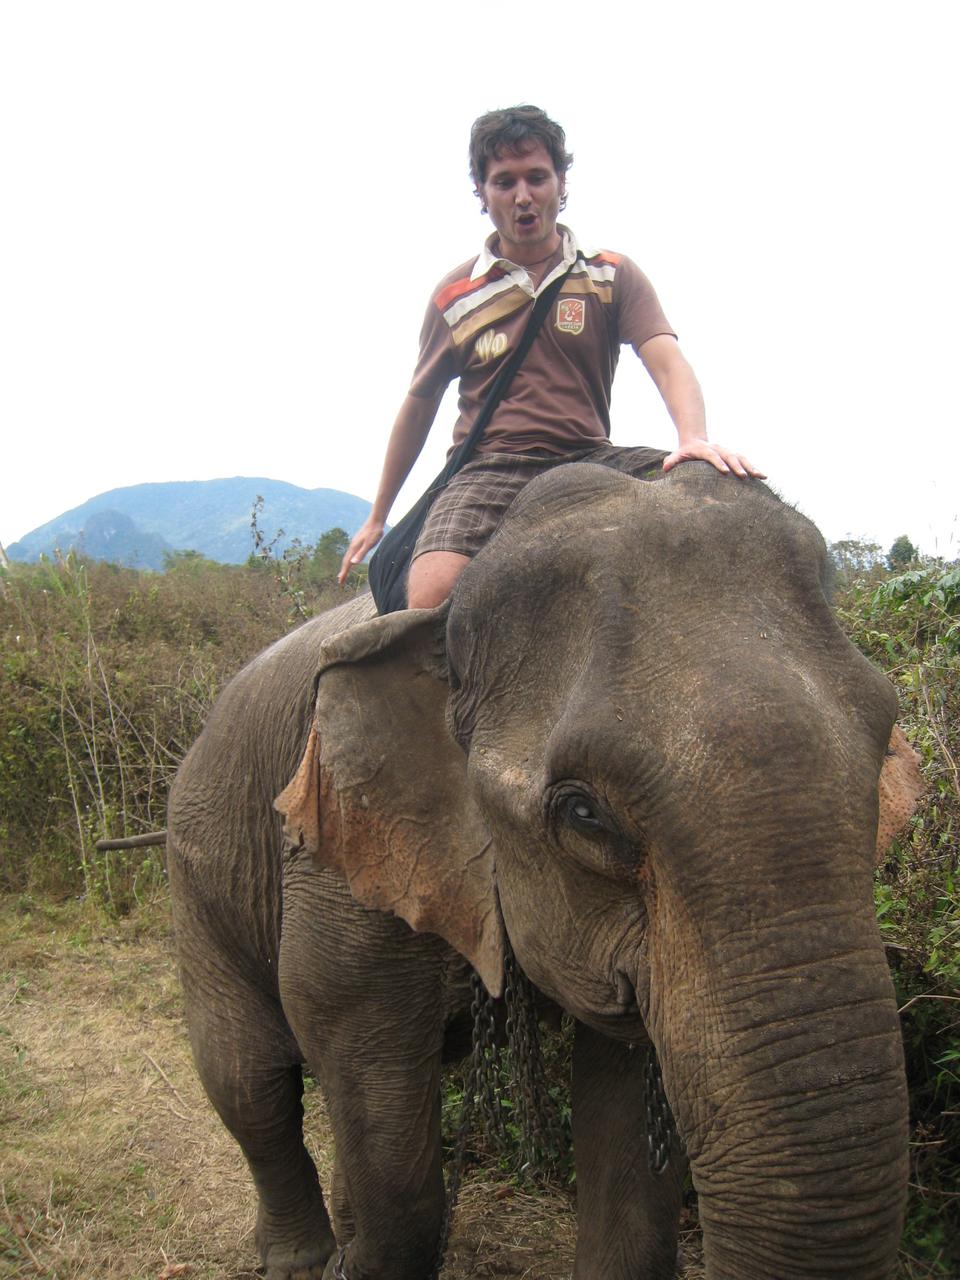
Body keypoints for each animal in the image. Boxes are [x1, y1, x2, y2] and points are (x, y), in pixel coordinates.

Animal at [166, 459, 922, 1280]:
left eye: (884, 747)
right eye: (585, 813)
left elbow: (625, 1111)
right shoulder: (342, 863)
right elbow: (369, 1097)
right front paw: (355, 1261)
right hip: (198, 862)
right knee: (250, 1076)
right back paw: (302, 1259)